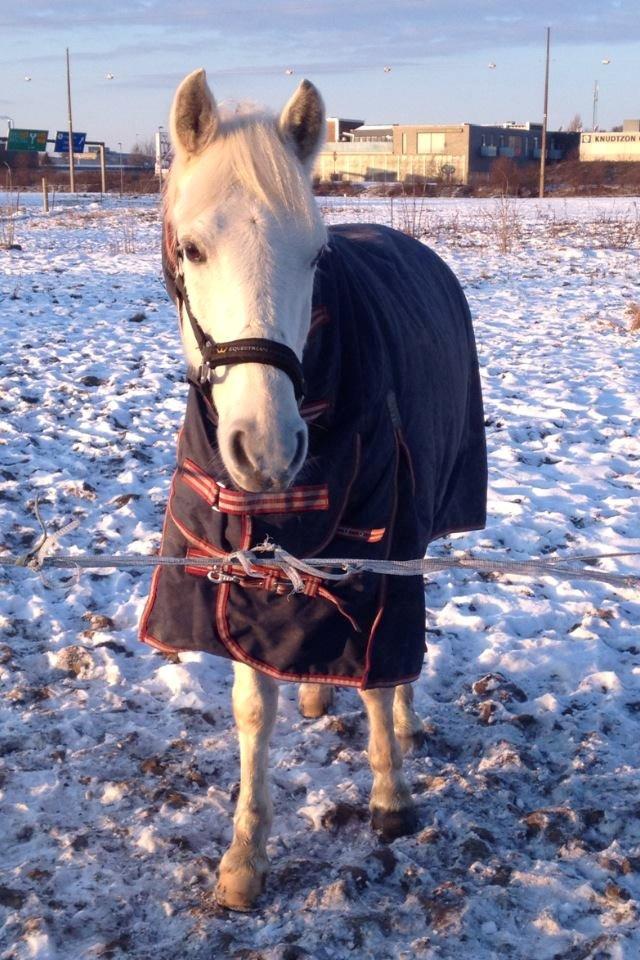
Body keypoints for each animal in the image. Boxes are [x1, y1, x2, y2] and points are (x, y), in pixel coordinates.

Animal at [140, 68, 487, 911]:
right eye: (191, 248)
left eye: (314, 255)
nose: (267, 448)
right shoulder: (231, 569)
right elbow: (251, 709)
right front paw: (244, 856)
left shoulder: (378, 547)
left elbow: (378, 677)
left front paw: (391, 794)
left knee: (398, 660)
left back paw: (405, 722)